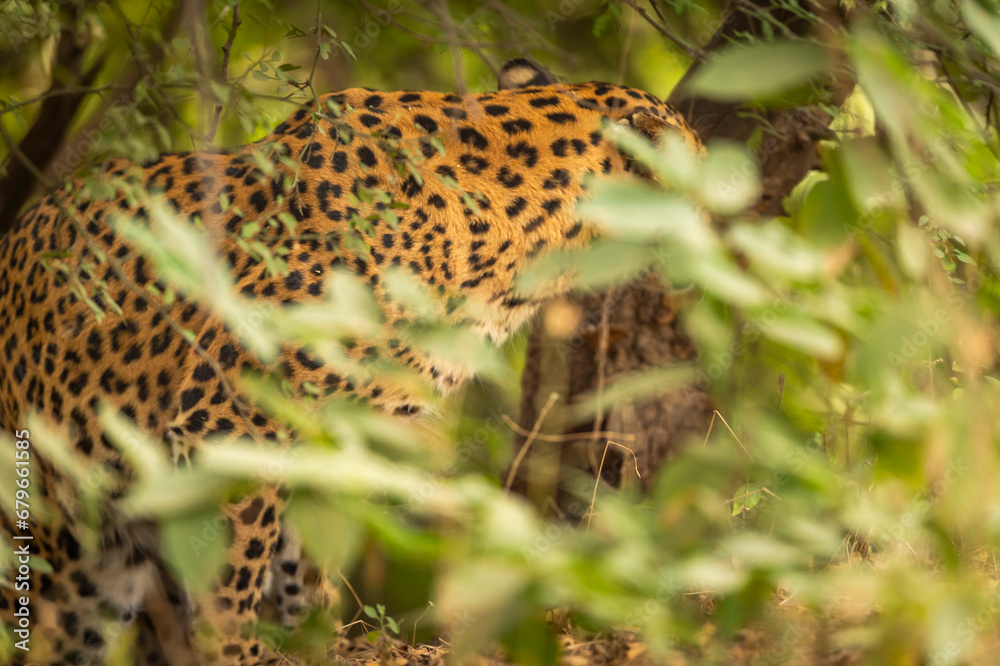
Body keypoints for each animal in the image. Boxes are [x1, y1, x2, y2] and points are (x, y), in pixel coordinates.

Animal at [0, 58, 700, 664]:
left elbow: (306, 554)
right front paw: (236, 651)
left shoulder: (331, 437)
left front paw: (314, 640)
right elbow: (234, 568)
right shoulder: (231, 420)